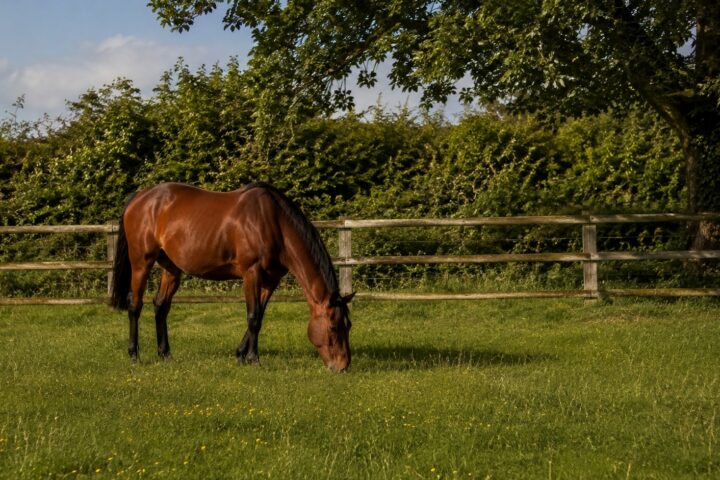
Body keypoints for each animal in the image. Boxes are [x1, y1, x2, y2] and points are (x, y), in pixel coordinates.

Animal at [109, 182, 354, 372]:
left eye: (348, 325)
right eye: (333, 327)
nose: (343, 366)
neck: (273, 223)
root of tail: (139, 197)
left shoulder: (270, 280)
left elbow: (260, 316)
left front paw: (240, 355)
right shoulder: (251, 273)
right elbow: (253, 316)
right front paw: (253, 359)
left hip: (171, 268)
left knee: (161, 306)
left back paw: (165, 354)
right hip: (141, 263)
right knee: (135, 305)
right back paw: (134, 355)